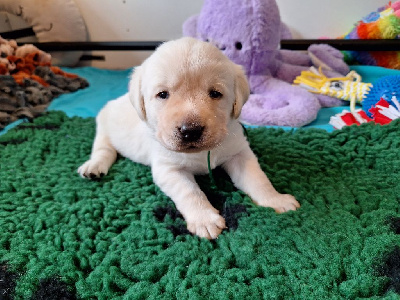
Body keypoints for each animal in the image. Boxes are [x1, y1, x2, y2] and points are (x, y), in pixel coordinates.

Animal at [77, 37, 300, 239]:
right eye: (162, 94)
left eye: (215, 93)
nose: (190, 130)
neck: (202, 153)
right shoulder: (169, 169)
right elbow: (190, 191)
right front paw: (205, 219)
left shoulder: (239, 153)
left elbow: (258, 179)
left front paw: (276, 200)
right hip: (104, 125)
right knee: (103, 148)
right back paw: (93, 167)